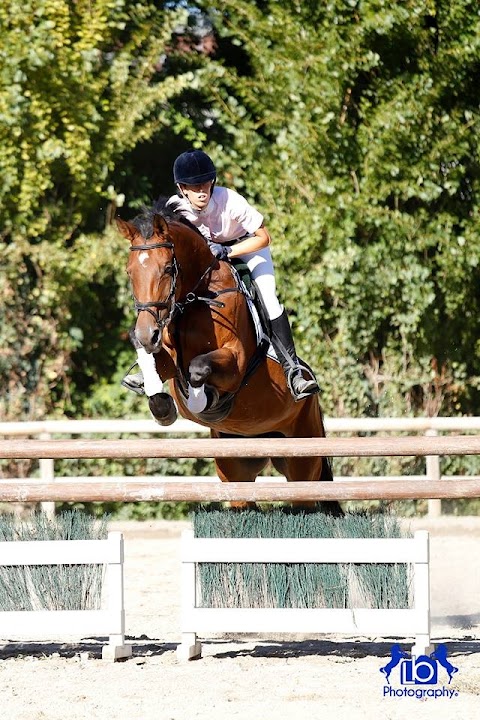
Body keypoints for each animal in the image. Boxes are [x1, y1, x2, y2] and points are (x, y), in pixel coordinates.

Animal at [116, 197, 342, 512]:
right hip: (236, 468)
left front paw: (202, 401)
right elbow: (159, 373)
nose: (148, 333)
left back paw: (300, 382)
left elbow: (198, 369)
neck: (196, 297)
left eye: (168, 269)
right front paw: (162, 405)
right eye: (129, 272)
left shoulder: (235, 361)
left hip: (303, 459)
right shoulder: (169, 360)